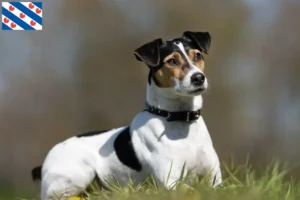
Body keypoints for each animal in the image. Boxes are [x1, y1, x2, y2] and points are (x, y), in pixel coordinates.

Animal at [31, 31, 221, 200]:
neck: (179, 119)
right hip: (78, 173)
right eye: (172, 61)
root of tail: (44, 162)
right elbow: (190, 190)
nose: (198, 78)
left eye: (197, 56)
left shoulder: (214, 178)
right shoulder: (171, 182)